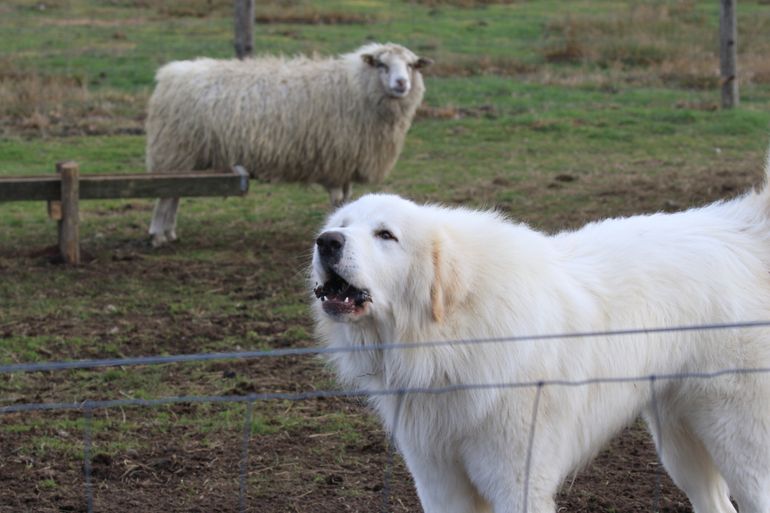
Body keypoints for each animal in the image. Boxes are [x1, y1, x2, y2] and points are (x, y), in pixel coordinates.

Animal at [146, 42, 432, 246]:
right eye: (382, 64)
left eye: (411, 65)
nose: (401, 84)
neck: (357, 88)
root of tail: (169, 75)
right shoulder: (335, 162)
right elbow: (338, 201)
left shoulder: (345, 164)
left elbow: (348, 200)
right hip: (174, 149)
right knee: (165, 195)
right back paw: (158, 234)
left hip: (184, 156)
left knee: (174, 193)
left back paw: (169, 233)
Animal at [306, 162, 768, 510]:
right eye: (342, 225)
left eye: (385, 235)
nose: (326, 241)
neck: (448, 340)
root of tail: (741, 226)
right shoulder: (440, 483)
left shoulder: (517, 483)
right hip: (678, 442)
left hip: (737, 443)